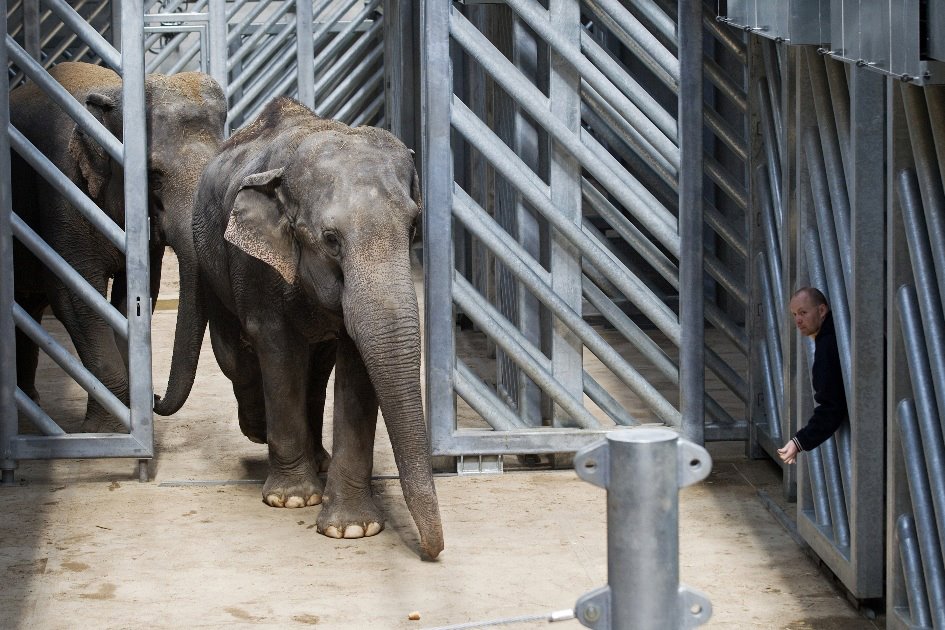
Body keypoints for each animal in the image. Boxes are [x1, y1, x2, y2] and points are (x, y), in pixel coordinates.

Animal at [11, 61, 227, 432]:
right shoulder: (63, 192)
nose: (157, 397)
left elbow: (135, 297)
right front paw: (101, 431)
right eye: (153, 175)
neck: (112, 93)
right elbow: (75, 296)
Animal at [157, 96, 444, 560]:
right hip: (210, 257)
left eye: (413, 226)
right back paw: (259, 430)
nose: (429, 551)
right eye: (330, 239)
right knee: (237, 356)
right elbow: (277, 349)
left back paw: (318, 458)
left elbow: (355, 363)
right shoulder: (254, 264)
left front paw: (352, 529)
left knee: (317, 369)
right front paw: (292, 499)